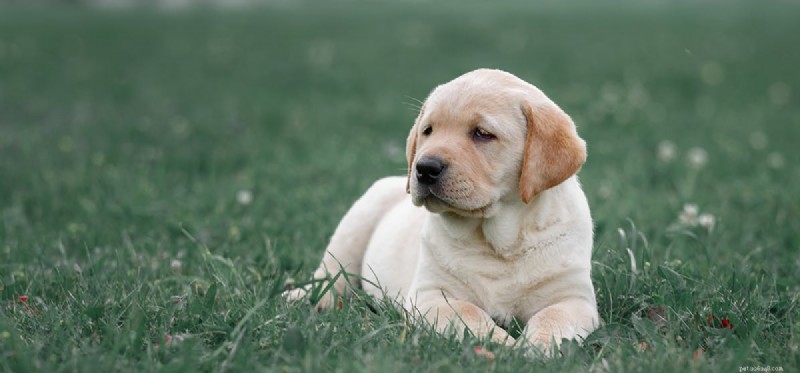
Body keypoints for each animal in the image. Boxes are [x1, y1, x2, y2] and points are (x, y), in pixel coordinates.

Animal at [284, 69, 596, 352]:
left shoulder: (574, 299)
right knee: (330, 276)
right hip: (356, 224)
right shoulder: (430, 295)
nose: (424, 168)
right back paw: (303, 297)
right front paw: (499, 344)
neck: (498, 244)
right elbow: (468, 313)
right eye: (428, 131)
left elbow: (553, 316)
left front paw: (537, 347)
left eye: (482, 134)